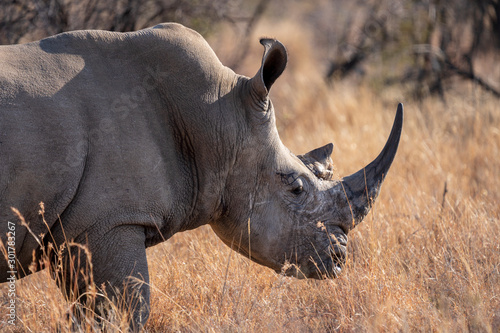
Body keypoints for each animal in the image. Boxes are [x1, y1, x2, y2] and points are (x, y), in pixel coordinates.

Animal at [0, 24, 400, 330]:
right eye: (296, 188)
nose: (340, 255)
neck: (218, 117)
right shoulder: (108, 221)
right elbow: (124, 311)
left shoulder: (83, 229)